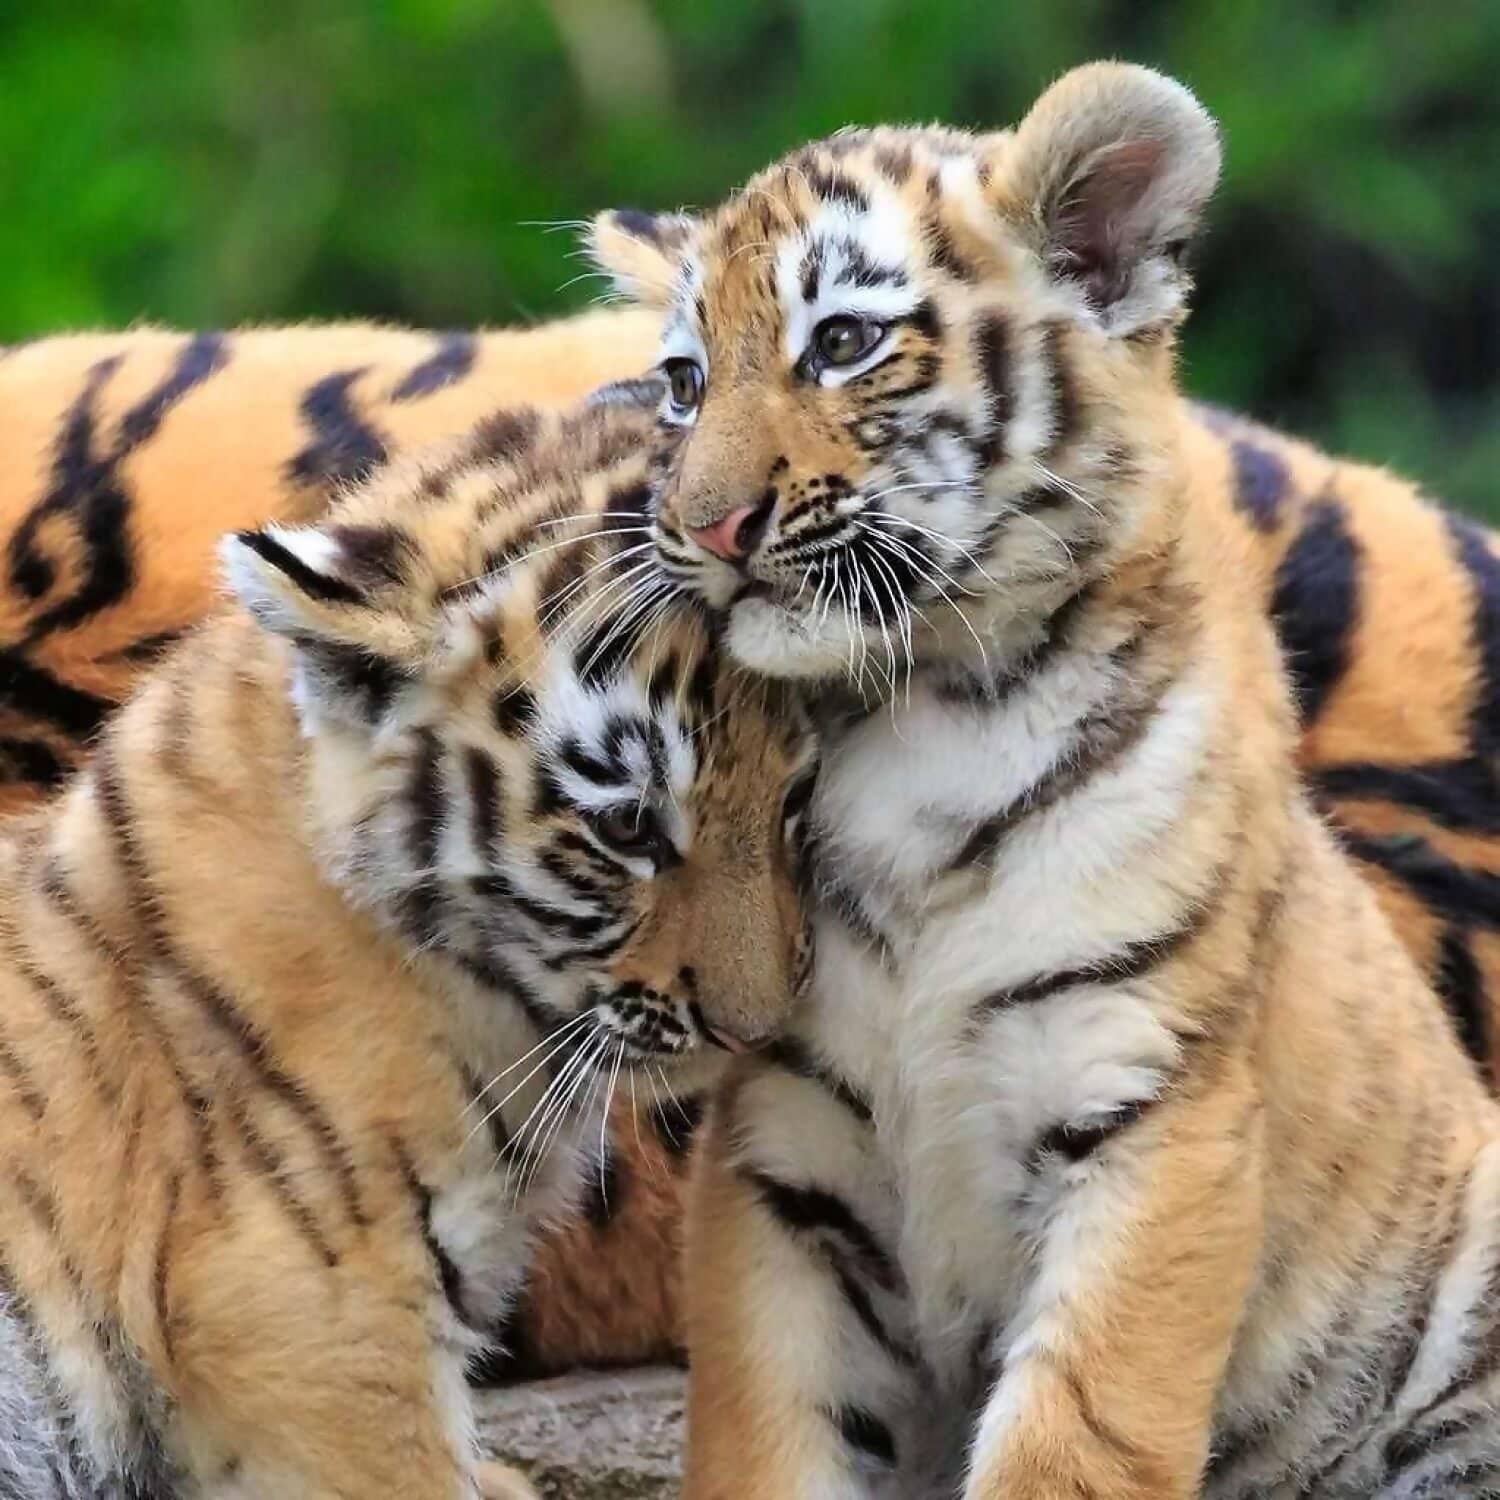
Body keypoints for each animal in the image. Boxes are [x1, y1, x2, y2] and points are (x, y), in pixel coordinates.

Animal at [587, 62, 1500, 1497]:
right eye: (684, 381)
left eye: (840, 345)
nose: (701, 525)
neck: (913, 714)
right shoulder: (780, 1156)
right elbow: (767, 1436)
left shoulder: (1153, 1109)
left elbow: (1079, 1435)